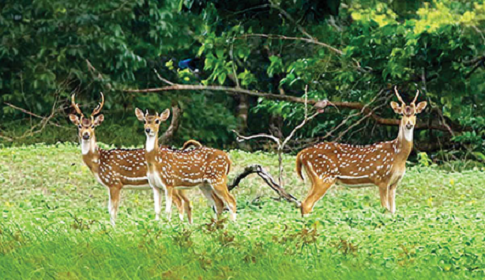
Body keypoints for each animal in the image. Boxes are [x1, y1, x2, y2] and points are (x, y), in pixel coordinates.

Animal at [69, 93, 194, 226]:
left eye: (92, 126)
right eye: (79, 126)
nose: (86, 135)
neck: (98, 161)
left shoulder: (115, 182)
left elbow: (113, 210)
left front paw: (113, 227)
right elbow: (110, 209)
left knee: (180, 202)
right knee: (187, 202)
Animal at [294, 87, 428, 217]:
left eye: (415, 113)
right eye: (401, 114)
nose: (409, 124)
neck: (398, 155)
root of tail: (302, 153)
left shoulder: (394, 182)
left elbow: (393, 211)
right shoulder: (382, 179)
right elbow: (385, 210)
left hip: (315, 178)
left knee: (303, 203)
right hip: (323, 177)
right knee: (306, 204)